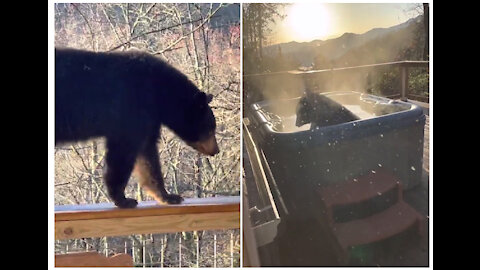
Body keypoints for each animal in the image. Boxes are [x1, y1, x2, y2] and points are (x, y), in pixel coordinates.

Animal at [55, 48, 219, 209]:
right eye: (211, 129)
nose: (216, 150)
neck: (160, 93)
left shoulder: (149, 119)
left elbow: (147, 156)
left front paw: (168, 196)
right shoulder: (132, 110)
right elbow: (124, 151)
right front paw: (123, 199)